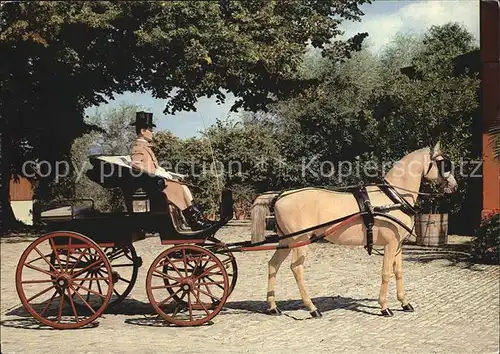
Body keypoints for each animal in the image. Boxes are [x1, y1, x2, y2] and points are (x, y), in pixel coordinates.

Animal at [250, 142, 458, 316]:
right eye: (444, 164)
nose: (454, 186)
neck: (392, 198)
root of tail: (280, 195)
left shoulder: (398, 245)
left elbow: (398, 272)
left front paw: (405, 303)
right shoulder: (390, 244)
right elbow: (386, 273)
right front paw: (384, 307)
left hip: (287, 240)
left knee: (273, 265)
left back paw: (273, 307)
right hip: (300, 241)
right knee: (296, 268)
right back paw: (312, 308)